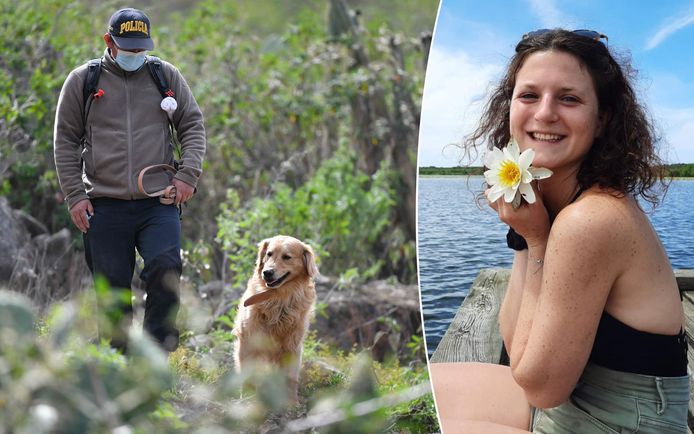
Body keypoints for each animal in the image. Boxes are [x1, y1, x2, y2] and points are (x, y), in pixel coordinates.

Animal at [234, 236, 320, 402]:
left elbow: (290, 377)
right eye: (269, 254)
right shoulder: (248, 341)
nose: (267, 272)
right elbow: (247, 374)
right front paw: (246, 397)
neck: (278, 300)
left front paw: (292, 402)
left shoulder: (292, 345)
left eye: (287, 257)